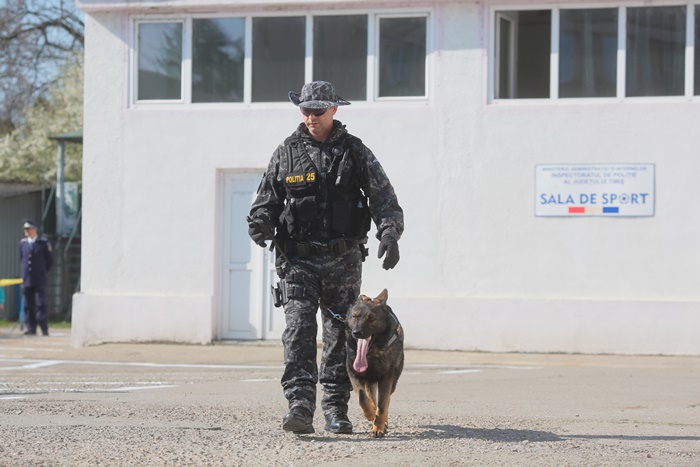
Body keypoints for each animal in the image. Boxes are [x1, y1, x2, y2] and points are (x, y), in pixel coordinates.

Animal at [345, 289, 404, 438]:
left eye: (371, 319)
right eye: (355, 316)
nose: (357, 332)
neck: (370, 353)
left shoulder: (387, 378)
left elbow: (382, 405)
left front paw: (378, 427)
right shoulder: (353, 373)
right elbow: (362, 398)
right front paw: (371, 414)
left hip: (392, 382)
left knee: (386, 401)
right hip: (369, 382)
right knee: (371, 398)